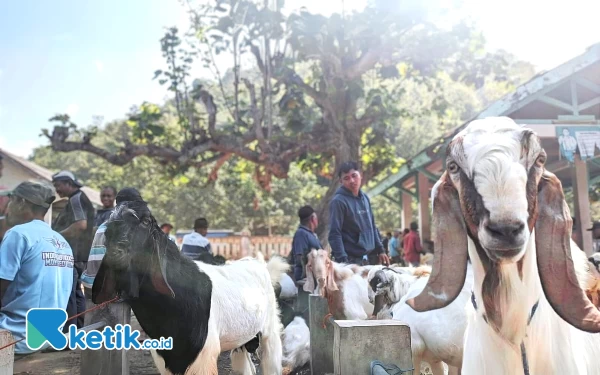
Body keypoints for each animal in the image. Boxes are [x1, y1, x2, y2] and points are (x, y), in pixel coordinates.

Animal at [92, 203, 288, 375]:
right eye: (108, 230)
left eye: (146, 222)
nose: (116, 252)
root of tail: (257, 262)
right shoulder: (165, 356)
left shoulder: (203, 355)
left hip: (270, 332)